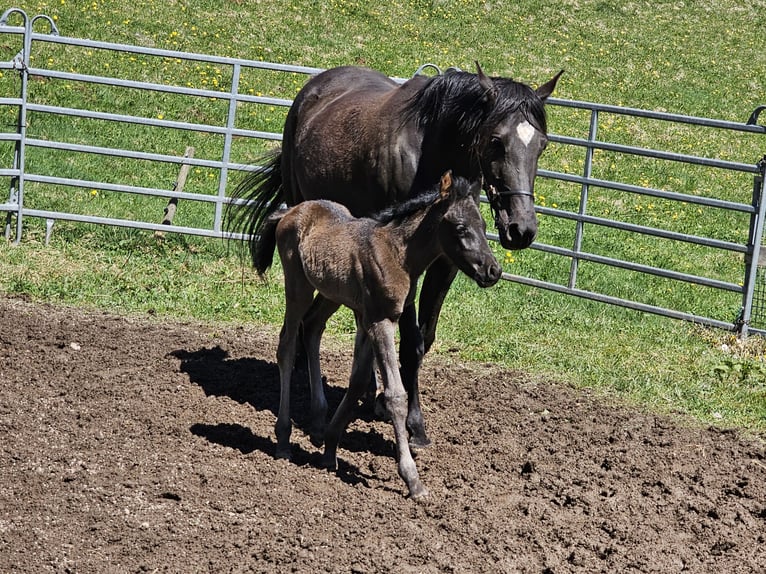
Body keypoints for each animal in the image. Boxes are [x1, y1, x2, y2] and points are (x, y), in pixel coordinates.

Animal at [228, 63, 562, 448]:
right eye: (496, 140)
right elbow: (410, 341)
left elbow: (423, 339)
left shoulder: (446, 261)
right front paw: (414, 424)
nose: (521, 229)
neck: (431, 149)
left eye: (542, 144)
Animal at [260, 171, 501, 499]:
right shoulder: (381, 321)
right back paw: (283, 439)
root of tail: (290, 212)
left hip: (331, 294)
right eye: (461, 228)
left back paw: (318, 423)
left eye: (485, 226)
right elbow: (395, 394)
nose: (493, 270)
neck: (398, 253)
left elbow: (359, 381)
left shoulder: (367, 318)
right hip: (298, 285)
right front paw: (412, 479)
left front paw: (330, 447)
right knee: (286, 345)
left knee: (312, 327)